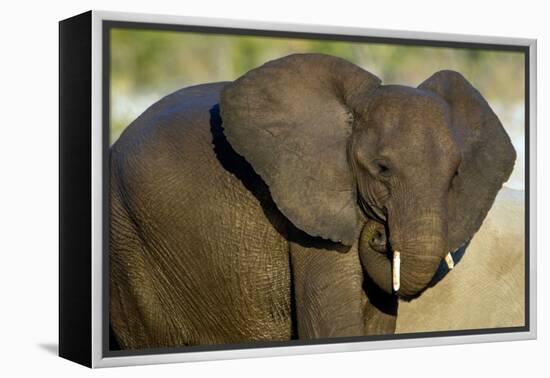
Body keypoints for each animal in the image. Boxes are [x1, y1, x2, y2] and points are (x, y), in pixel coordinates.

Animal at [111, 52, 516, 348]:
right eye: (382, 169)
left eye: (454, 176)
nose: (379, 233)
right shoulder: (306, 211)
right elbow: (331, 324)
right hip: (129, 248)